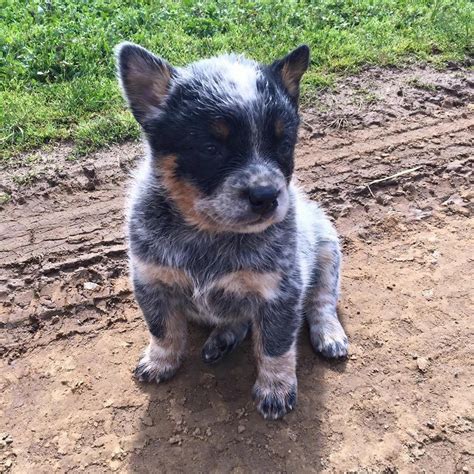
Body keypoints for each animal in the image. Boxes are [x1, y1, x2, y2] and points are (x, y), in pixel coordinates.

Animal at [115, 41, 348, 418]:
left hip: (328, 250)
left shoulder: (280, 293)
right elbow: (163, 330)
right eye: (211, 149)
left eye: (284, 145)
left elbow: (275, 347)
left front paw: (275, 389)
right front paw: (160, 361)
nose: (266, 195)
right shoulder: (151, 279)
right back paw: (222, 338)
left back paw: (329, 334)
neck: (208, 234)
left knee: (322, 302)